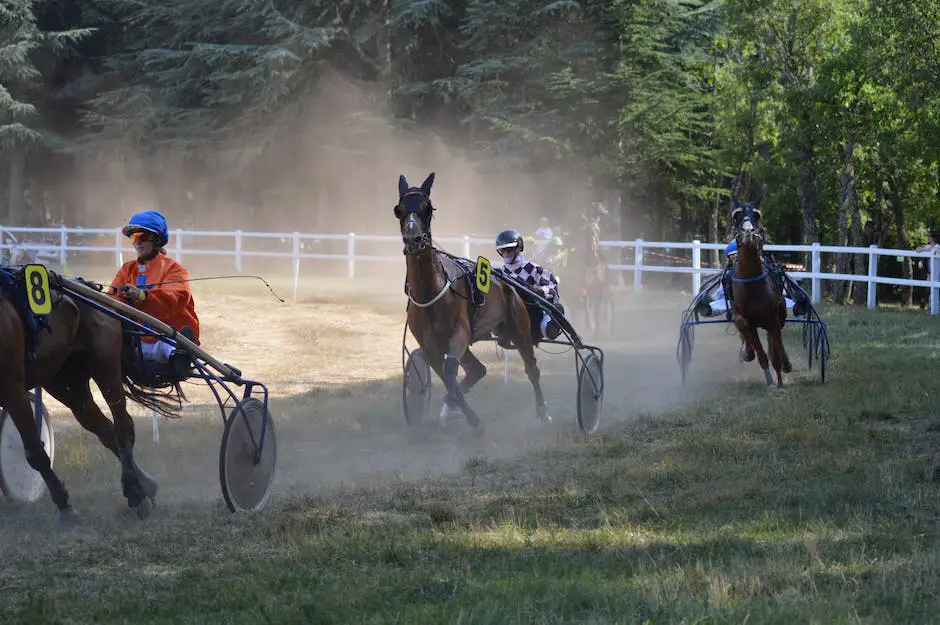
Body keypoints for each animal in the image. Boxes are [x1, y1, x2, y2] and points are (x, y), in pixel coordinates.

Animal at [728, 197, 792, 388]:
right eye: (736, 215)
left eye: (757, 215)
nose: (748, 232)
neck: (752, 282)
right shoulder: (743, 317)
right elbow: (756, 348)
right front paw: (770, 382)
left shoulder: (772, 318)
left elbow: (775, 353)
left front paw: (779, 384)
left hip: (778, 316)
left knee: (776, 341)